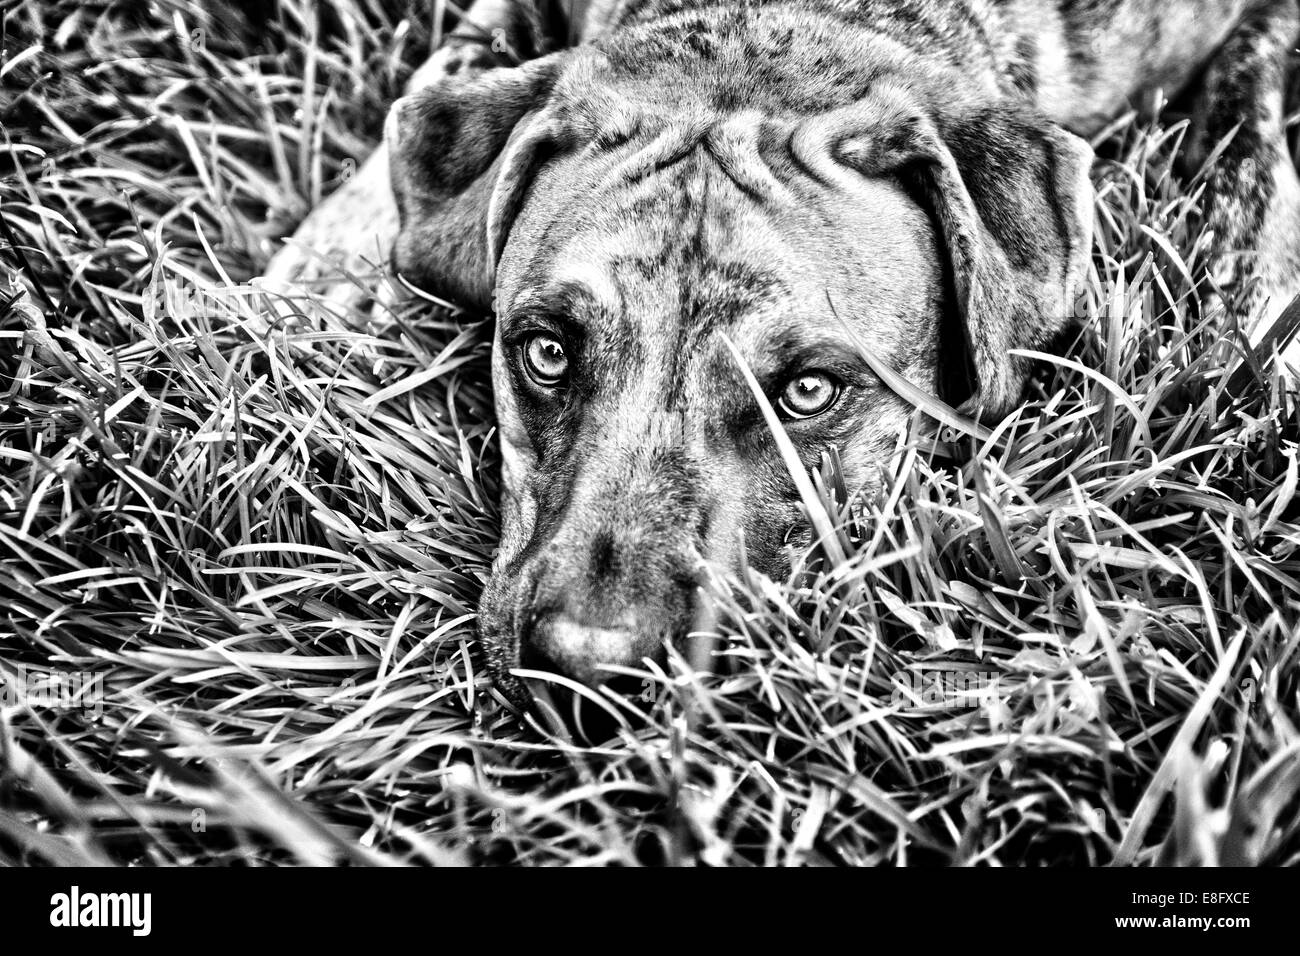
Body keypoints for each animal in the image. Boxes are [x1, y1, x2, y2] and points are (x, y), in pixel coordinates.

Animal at [261, 0, 1300, 702]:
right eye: (546, 353)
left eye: (808, 392)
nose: (589, 667)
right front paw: (305, 279)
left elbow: (1255, 90)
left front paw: (1247, 297)